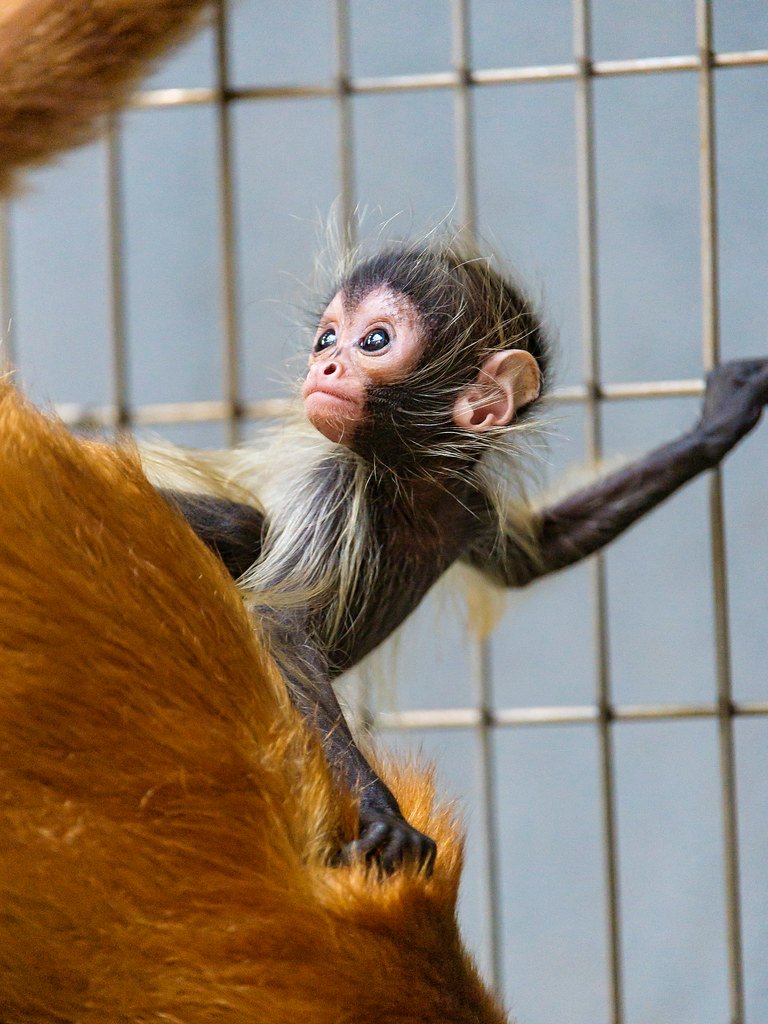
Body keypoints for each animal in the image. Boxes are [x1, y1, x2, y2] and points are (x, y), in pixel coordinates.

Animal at [144, 238, 768, 874]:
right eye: (327, 339)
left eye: (373, 340)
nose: (323, 368)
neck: (406, 488)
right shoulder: (333, 480)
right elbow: (282, 627)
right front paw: (384, 816)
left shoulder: (465, 505)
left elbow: (538, 556)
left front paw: (713, 428)